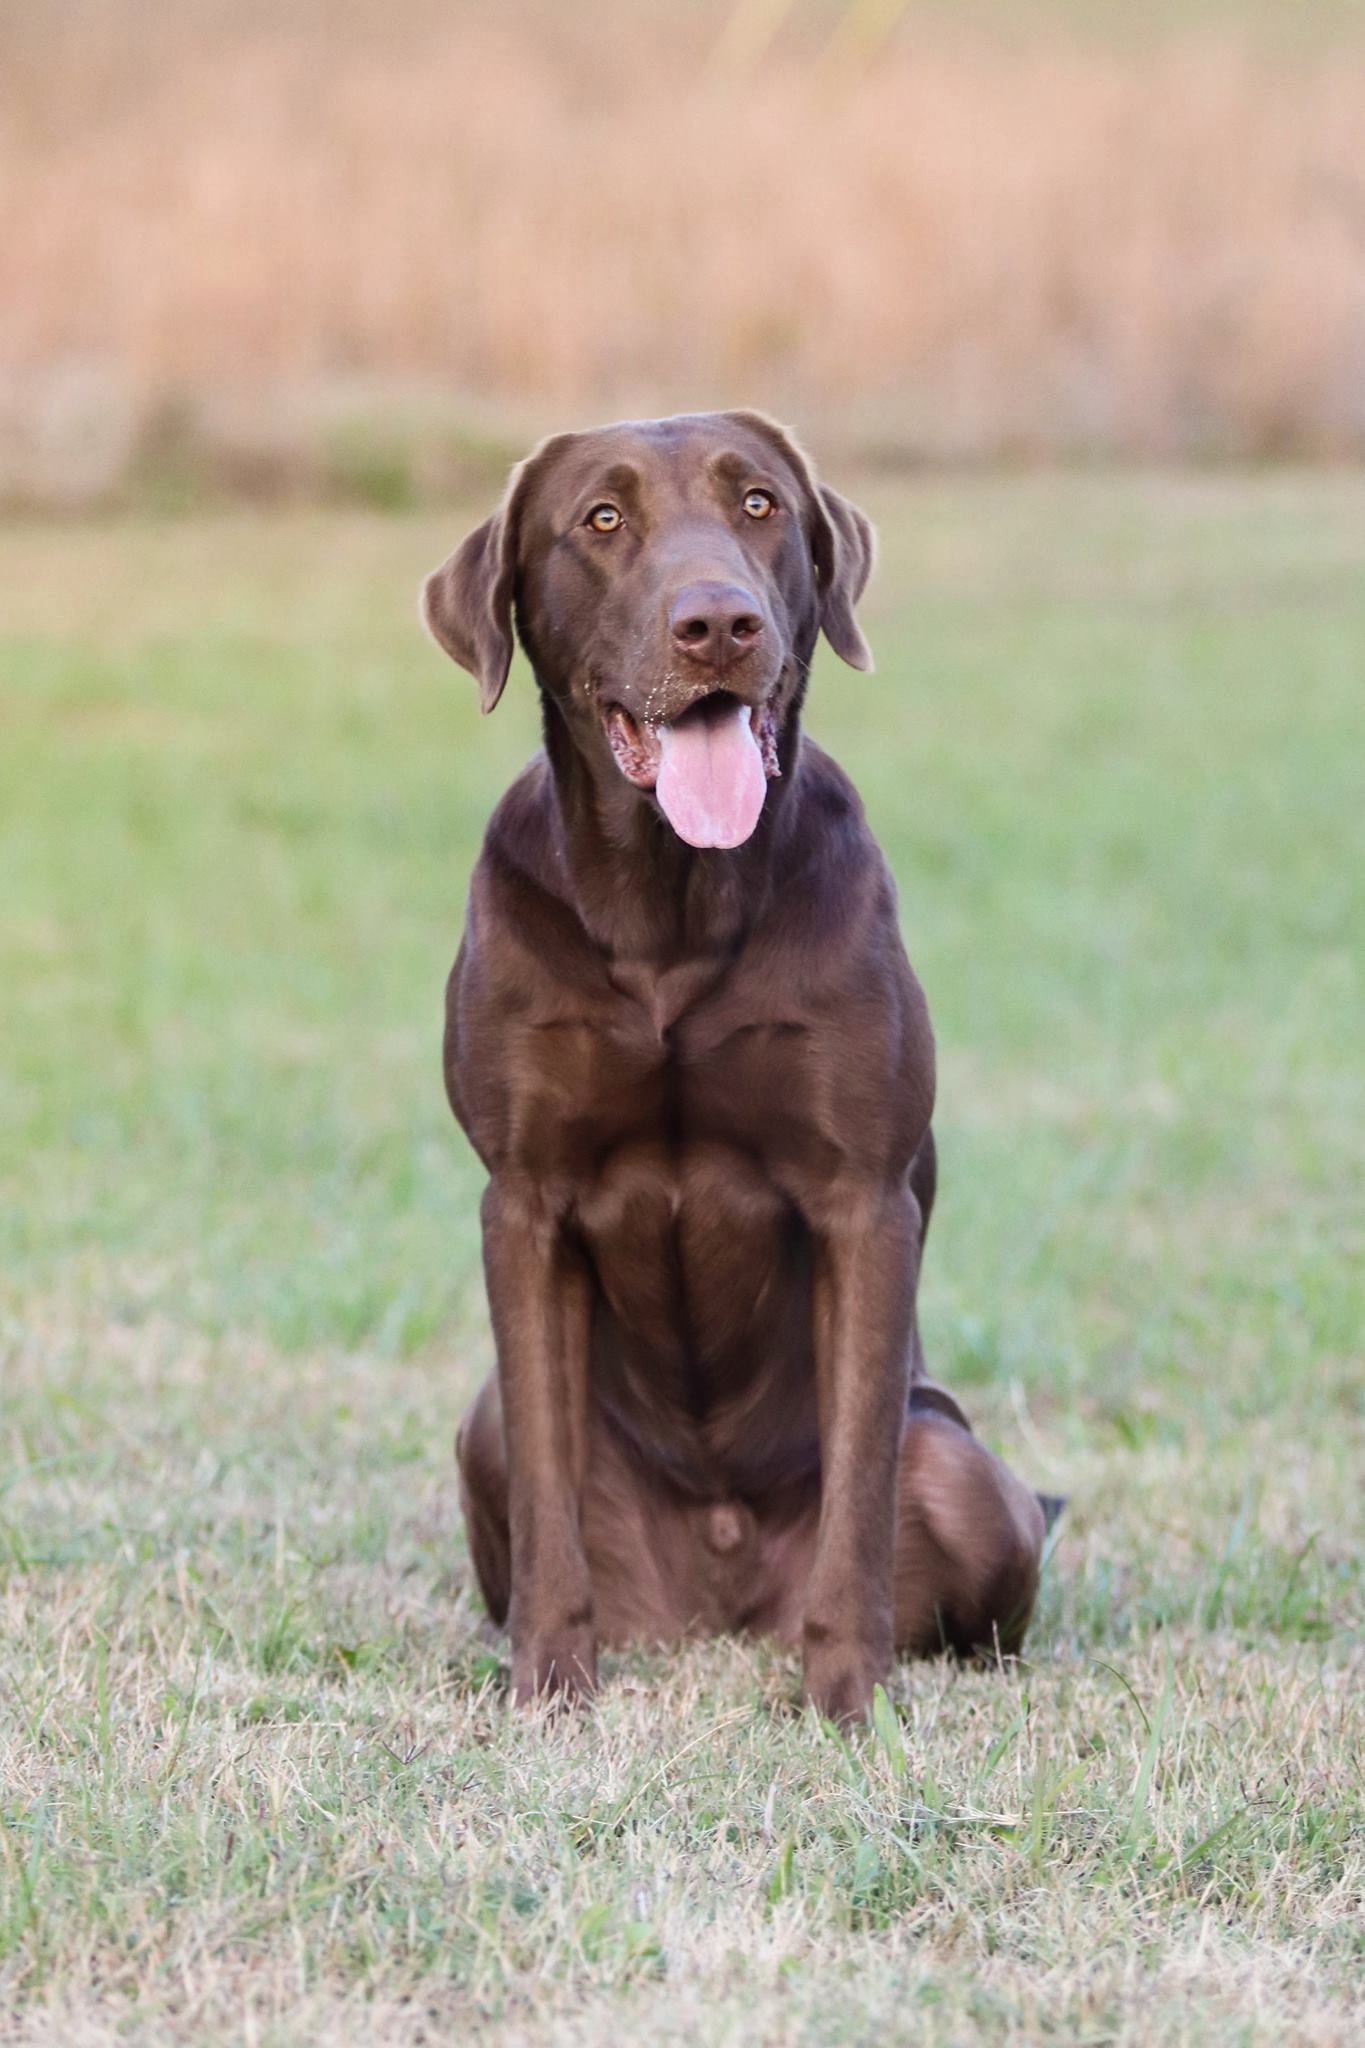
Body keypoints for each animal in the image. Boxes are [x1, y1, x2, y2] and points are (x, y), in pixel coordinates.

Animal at [421, 407, 1055, 1720]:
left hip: (969, 1478)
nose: (717, 622)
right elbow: (550, 1487)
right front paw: (549, 1689)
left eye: (760, 503)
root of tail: (715, 1607)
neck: (671, 907)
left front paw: (848, 1700)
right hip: (481, 1427)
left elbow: (859, 1482)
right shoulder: (524, 1201)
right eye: (602, 519)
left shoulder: (864, 1200)